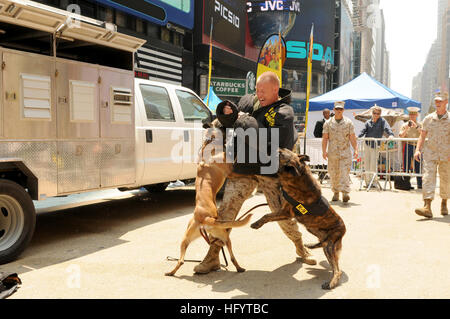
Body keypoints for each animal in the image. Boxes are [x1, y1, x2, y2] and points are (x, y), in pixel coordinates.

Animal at [165, 124, 251, 276]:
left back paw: (171, 272)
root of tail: (204, 219)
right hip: (221, 234)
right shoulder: (231, 170)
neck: (210, 143)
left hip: (190, 238)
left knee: (182, 260)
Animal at [251, 149, 346, 290]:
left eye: (279, 153)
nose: (268, 148)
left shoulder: (285, 212)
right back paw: (310, 245)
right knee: (321, 243)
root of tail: (344, 228)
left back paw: (331, 282)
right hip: (316, 232)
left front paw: (256, 223)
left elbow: (267, 216)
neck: (299, 175)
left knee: (337, 269)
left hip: (329, 246)